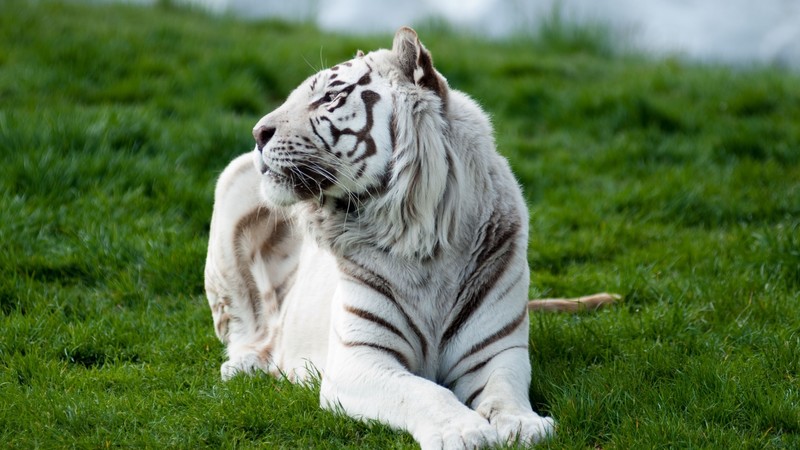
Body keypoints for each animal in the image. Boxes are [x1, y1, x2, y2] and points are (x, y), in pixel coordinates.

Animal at [204, 27, 616, 449]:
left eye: (330, 97)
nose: (257, 133)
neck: (422, 242)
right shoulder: (359, 360)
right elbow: (424, 391)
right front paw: (464, 430)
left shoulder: (496, 351)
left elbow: (504, 390)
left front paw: (523, 424)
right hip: (235, 180)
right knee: (241, 328)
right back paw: (247, 364)